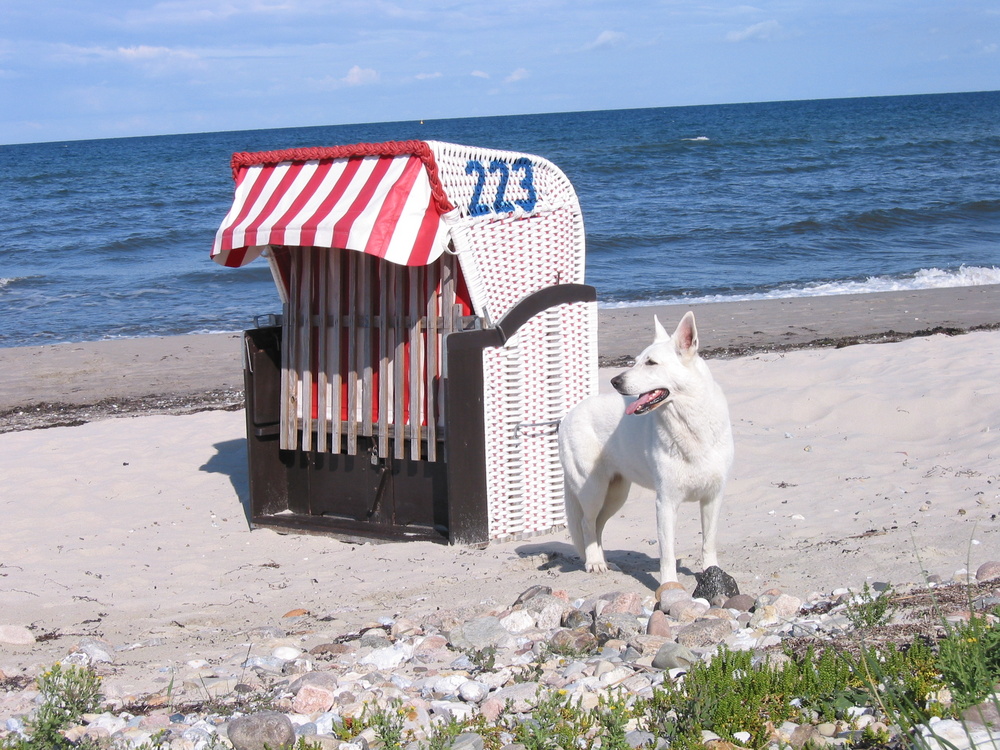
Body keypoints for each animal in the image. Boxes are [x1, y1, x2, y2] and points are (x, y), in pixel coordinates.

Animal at [560, 312, 732, 588]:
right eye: (637, 360)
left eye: (651, 363)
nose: (615, 380)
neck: (691, 426)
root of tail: (567, 416)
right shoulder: (666, 503)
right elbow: (667, 551)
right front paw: (668, 584)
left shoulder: (712, 497)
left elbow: (709, 541)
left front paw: (712, 572)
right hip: (593, 490)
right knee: (587, 523)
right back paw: (595, 562)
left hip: (616, 494)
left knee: (597, 525)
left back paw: (605, 561)